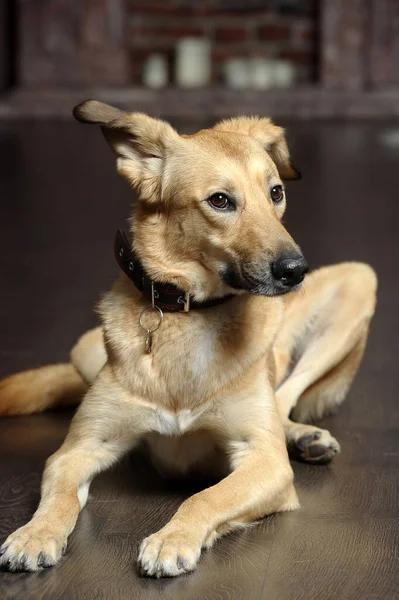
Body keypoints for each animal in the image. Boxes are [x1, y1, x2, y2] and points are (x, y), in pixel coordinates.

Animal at [0, 103, 378, 576]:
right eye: (219, 200)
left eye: (275, 192)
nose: (296, 271)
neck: (192, 313)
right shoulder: (76, 451)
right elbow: (60, 498)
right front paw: (35, 533)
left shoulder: (266, 464)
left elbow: (207, 496)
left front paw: (173, 538)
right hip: (84, 348)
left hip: (358, 280)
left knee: (283, 397)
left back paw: (301, 436)